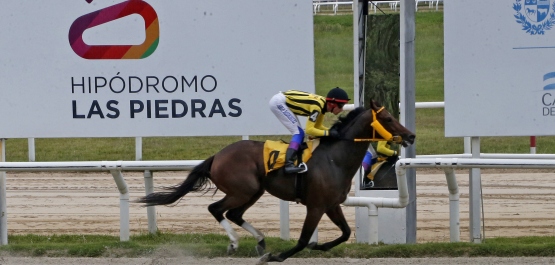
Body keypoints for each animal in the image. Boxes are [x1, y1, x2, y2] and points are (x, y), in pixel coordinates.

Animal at [137, 100, 414, 262]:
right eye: (388, 119)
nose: (410, 136)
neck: (335, 158)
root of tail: (218, 155)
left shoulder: (332, 204)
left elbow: (345, 233)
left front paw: (320, 247)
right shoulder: (316, 206)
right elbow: (302, 239)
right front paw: (278, 256)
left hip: (255, 191)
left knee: (234, 214)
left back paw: (260, 241)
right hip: (243, 189)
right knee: (216, 209)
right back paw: (235, 243)